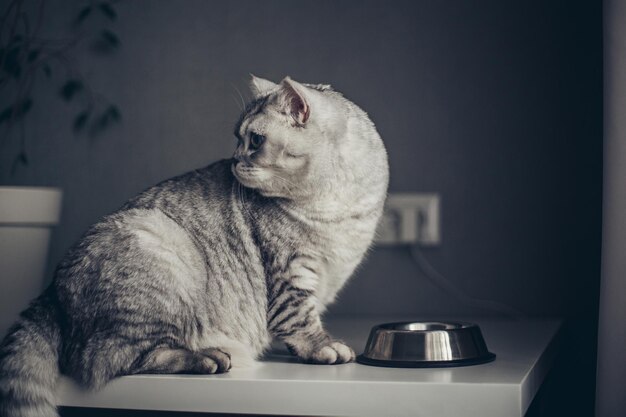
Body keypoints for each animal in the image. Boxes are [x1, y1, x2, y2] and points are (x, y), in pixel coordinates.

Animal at [0, 75, 386, 416]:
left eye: (255, 140)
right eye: (237, 137)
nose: (234, 159)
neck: (340, 204)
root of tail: (51, 293)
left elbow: (306, 315)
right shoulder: (291, 270)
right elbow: (301, 318)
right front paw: (322, 347)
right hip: (159, 257)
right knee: (112, 358)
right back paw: (208, 357)